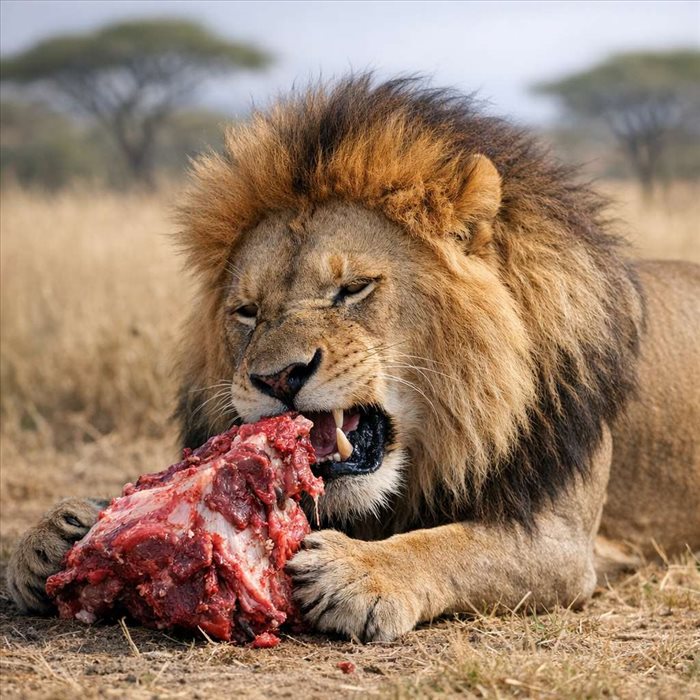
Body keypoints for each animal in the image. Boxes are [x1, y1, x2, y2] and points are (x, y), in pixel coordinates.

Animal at [7, 76, 700, 642]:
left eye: (354, 288)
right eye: (247, 312)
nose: (277, 377)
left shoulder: (564, 540)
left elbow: (459, 544)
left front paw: (360, 570)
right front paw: (55, 533)